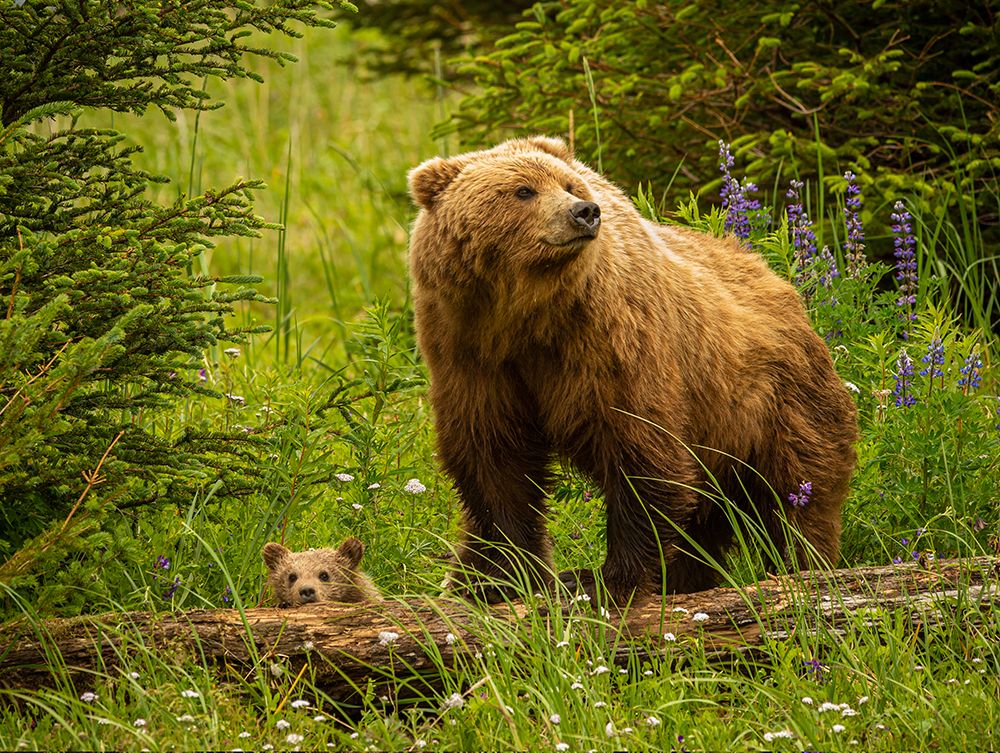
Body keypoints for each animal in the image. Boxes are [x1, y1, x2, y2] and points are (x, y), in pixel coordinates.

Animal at [406, 136, 859, 606]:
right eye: (523, 190)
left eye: (569, 185)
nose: (584, 211)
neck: (526, 314)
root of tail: (783, 284)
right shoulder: (469, 354)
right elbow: (494, 461)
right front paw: (498, 577)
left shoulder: (609, 343)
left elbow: (640, 452)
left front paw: (605, 580)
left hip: (772, 403)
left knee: (796, 493)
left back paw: (800, 565)